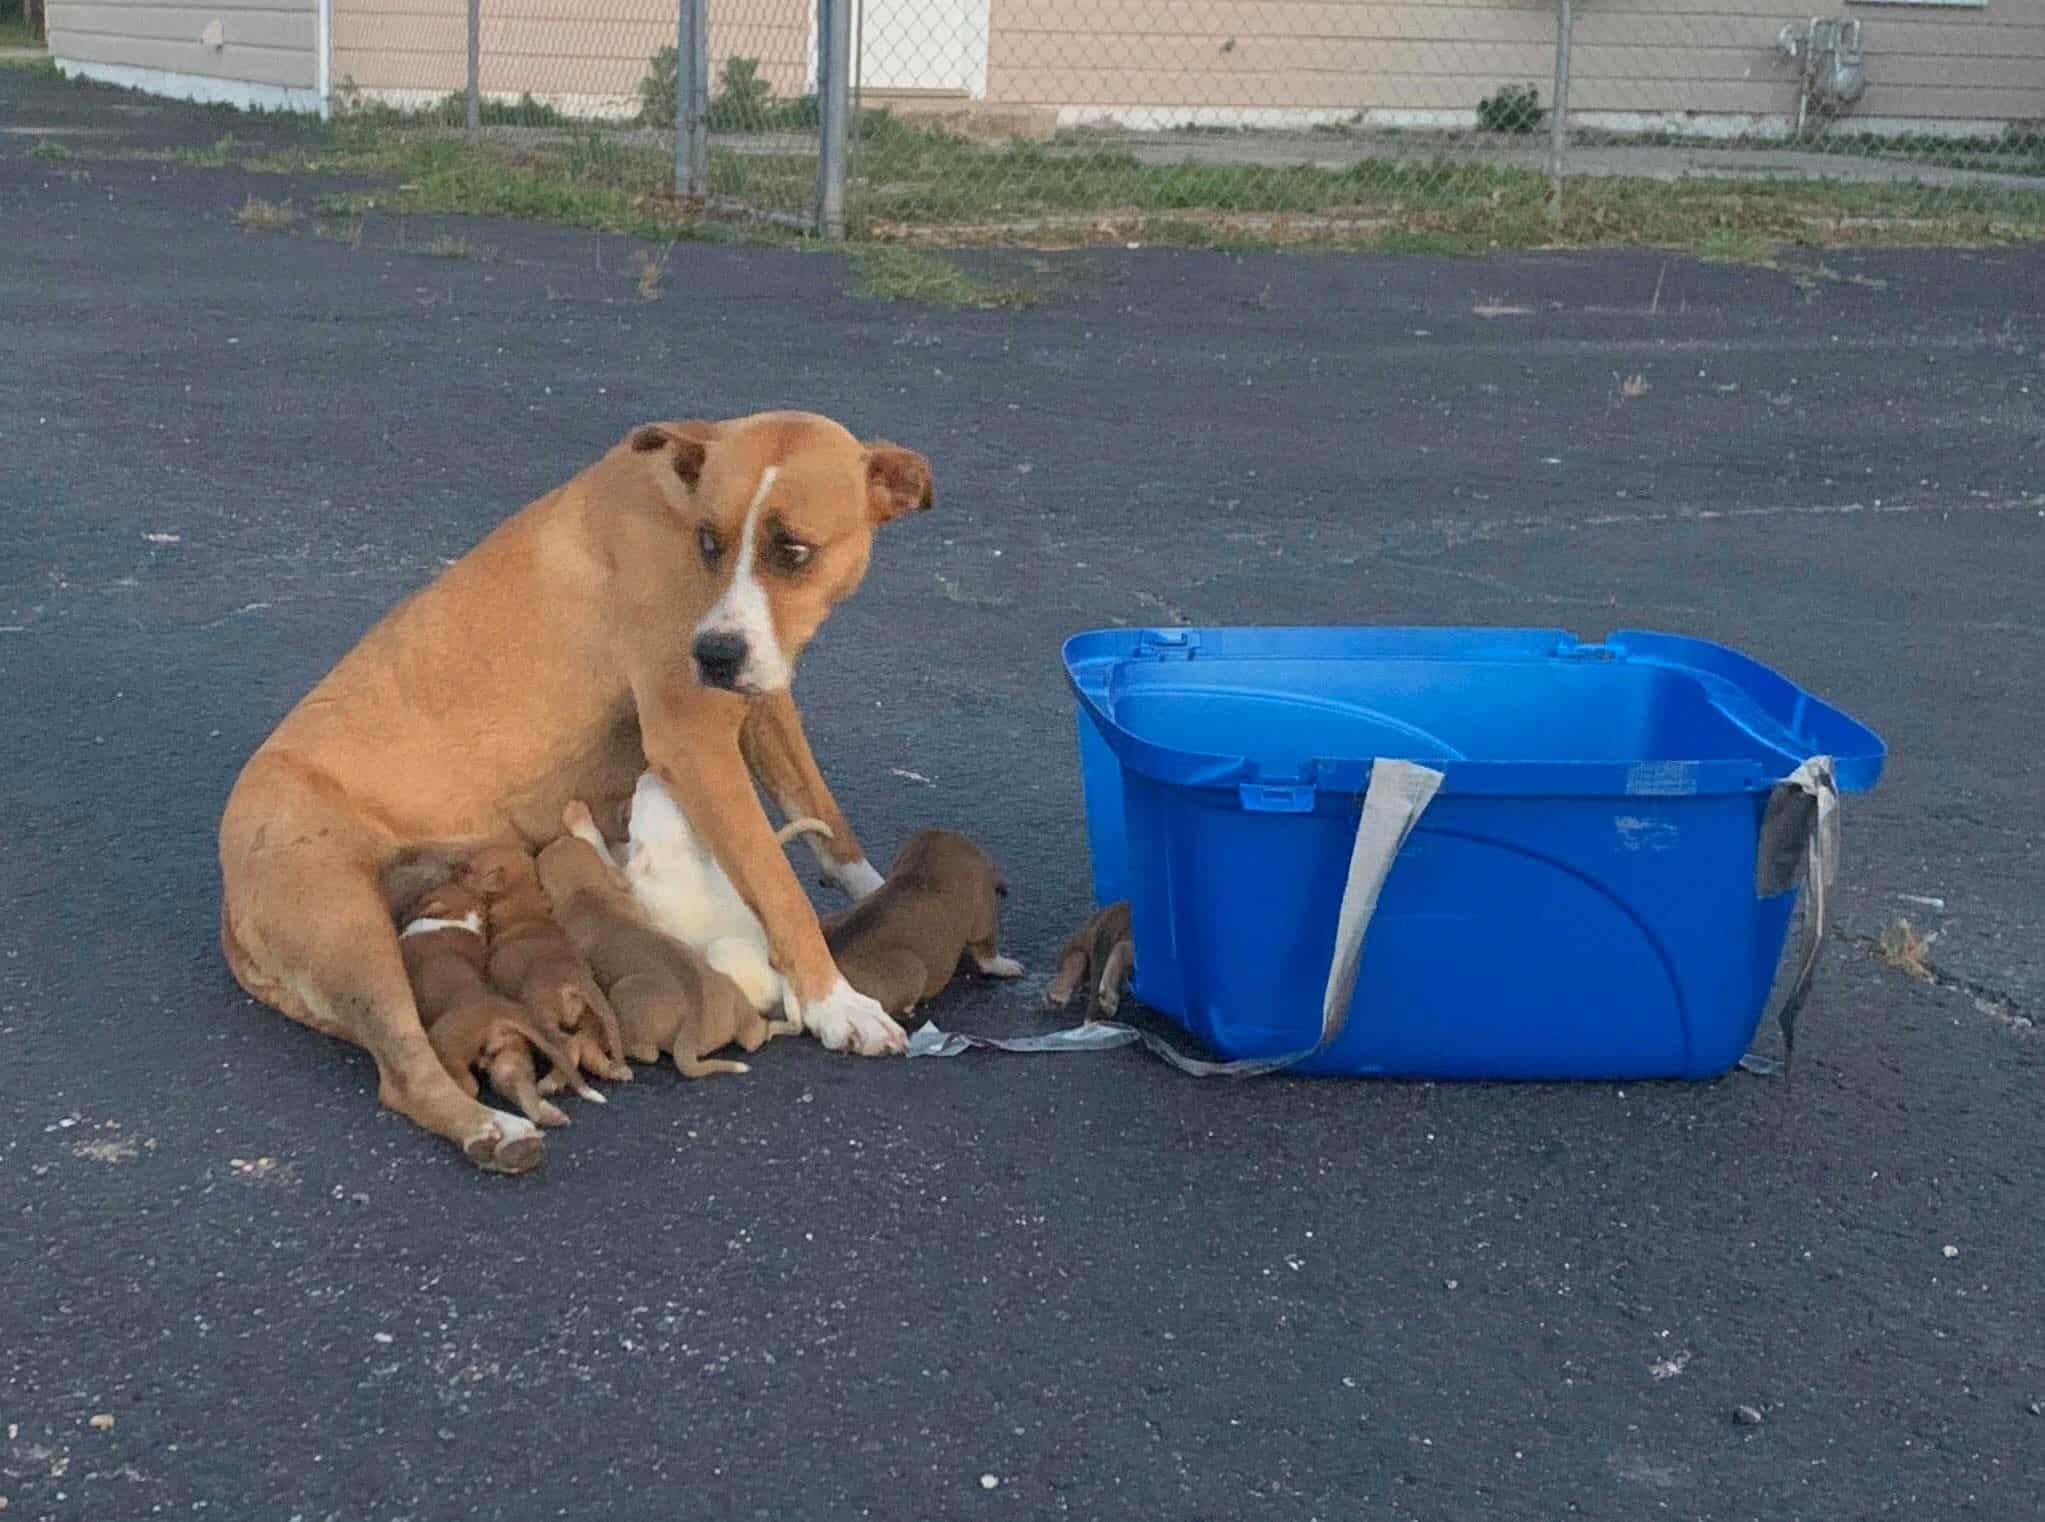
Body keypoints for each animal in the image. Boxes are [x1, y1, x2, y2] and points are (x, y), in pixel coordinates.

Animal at [396, 879, 593, 1129]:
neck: (460, 919)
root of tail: (500, 1013)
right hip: (509, 1054)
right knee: (521, 1092)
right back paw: (550, 1114)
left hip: (445, 1044)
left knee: (470, 1086)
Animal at [460, 842, 625, 1080]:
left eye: (468, 870)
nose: (455, 870)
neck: (522, 902)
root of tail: (575, 980)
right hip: (589, 1015)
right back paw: (611, 1069)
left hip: (540, 1014)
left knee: (568, 1044)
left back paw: (548, 1083)